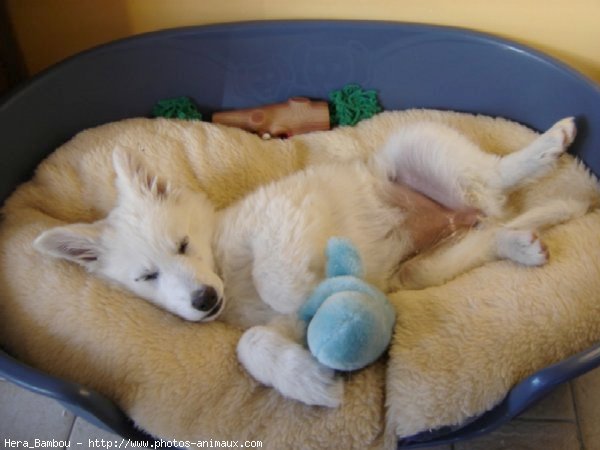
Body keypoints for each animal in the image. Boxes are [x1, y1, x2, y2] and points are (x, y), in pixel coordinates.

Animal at [32, 118, 580, 406]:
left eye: (182, 246)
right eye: (147, 276)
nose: (204, 300)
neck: (225, 269)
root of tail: (458, 213)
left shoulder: (285, 214)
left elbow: (276, 276)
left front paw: (305, 291)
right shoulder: (281, 324)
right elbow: (252, 343)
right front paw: (305, 378)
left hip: (418, 146)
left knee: (498, 176)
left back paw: (550, 143)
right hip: (421, 268)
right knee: (489, 232)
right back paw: (520, 244)